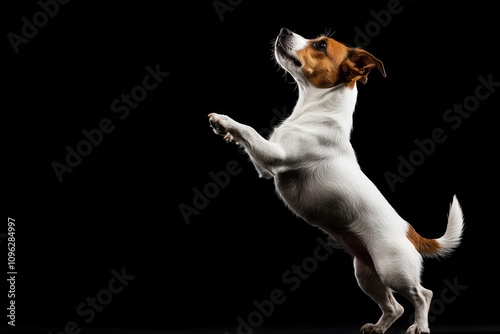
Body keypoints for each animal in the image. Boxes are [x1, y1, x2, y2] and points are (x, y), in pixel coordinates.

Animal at [206, 27, 460, 332]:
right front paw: (225, 132)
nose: (284, 30)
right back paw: (379, 327)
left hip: (394, 270)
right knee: (395, 307)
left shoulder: (275, 156)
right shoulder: (265, 167)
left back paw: (420, 326)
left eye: (321, 45)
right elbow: (248, 141)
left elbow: (249, 130)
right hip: (366, 274)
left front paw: (225, 121)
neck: (314, 112)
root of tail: (410, 232)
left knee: (423, 294)